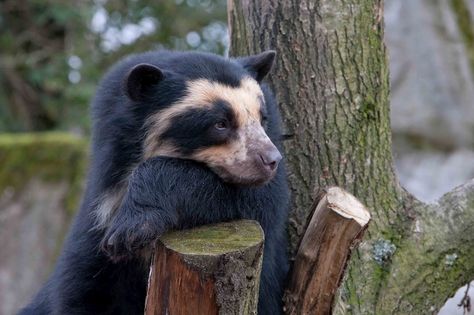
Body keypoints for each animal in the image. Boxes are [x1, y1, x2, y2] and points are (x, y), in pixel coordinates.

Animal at [19, 50, 288, 315]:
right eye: (220, 123)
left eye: (262, 119)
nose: (271, 160)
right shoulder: (98, 214)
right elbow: (84, 288)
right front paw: (124, 239)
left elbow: (257, 201)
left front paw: (130, 229)